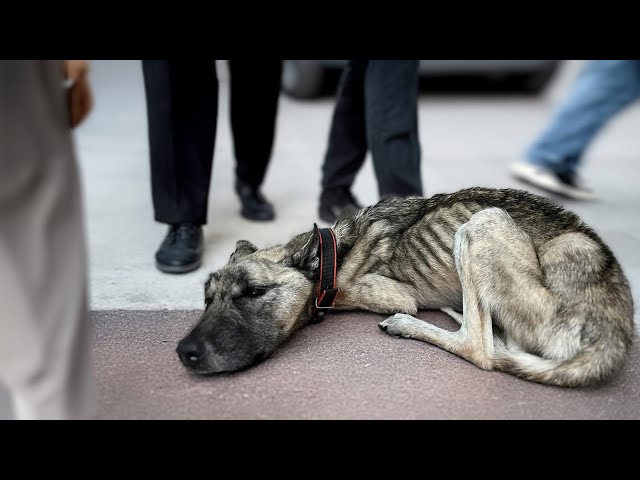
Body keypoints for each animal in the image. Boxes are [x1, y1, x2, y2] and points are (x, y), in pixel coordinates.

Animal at [175, 186, 636, 388]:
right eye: (207, 298)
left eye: (254, 292)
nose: (185, 352)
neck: (332, 256)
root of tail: (616, 326)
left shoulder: (383, 292)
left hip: (482, 222)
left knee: (481, 347)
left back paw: (413, 326)